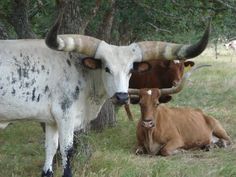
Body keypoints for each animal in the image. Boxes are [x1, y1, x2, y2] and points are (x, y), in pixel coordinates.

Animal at [0, 10, 210, 177]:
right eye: (106, 68)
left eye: (131, 69)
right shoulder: (65, 116)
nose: (122, 97)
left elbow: (50, 149)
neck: (82, 72)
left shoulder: (51, 120)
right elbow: (67, 151)